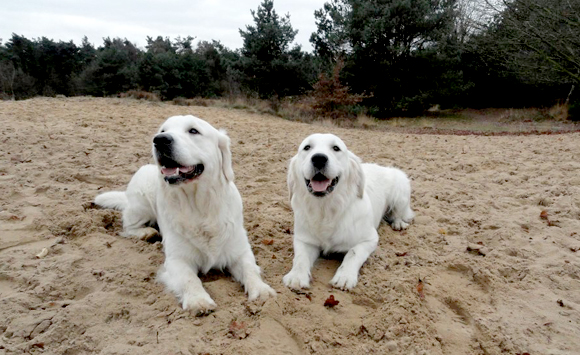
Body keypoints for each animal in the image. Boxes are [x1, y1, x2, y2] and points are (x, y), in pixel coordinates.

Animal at [94, 115, 276, 316]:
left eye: (193, 131)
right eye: (163, 130)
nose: (159, 140)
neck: (198, 206)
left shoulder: (240, 250)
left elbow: (250, 269)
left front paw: (261, 290)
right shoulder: (177, 259)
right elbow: (189, 278)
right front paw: (198, 300)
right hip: (141, 205)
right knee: (127, 226)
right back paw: (146, 232)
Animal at [284, 134, 414, 292]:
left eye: (336, 148)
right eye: (307, 147)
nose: (319, 158)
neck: (326, 210)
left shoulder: (369, 239)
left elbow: (353, 254)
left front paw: (344, 277)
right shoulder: (304, 240)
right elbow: (300, 258)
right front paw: (296, 276)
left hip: (400, 188)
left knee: (400, 213)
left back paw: (398, 222)